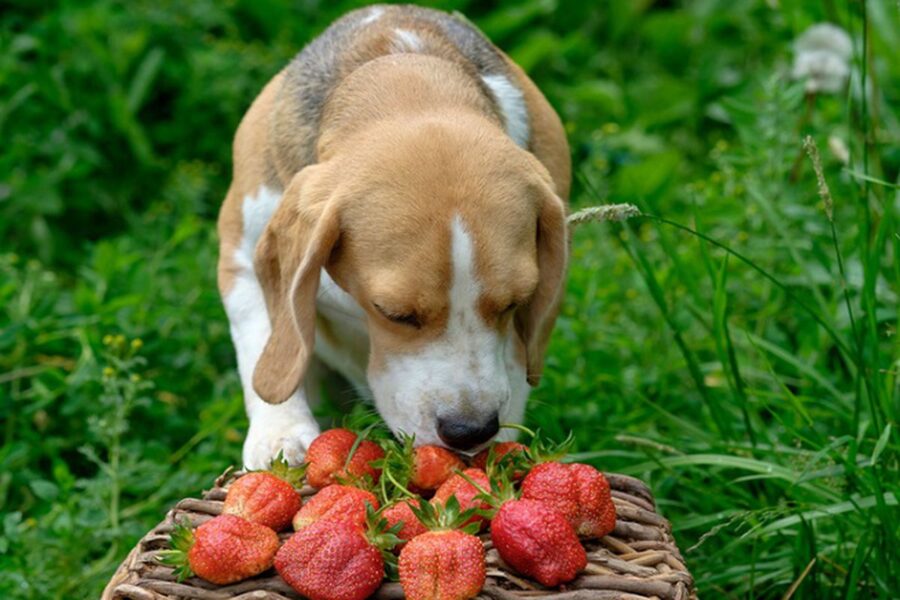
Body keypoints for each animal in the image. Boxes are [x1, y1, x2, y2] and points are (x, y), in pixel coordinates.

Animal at [216, 3, 568, 468]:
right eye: (394, 314)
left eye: (514, 304)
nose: (471, 430)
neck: (405, 79)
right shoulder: (240, 253)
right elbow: (263, 334)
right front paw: (281, 434)